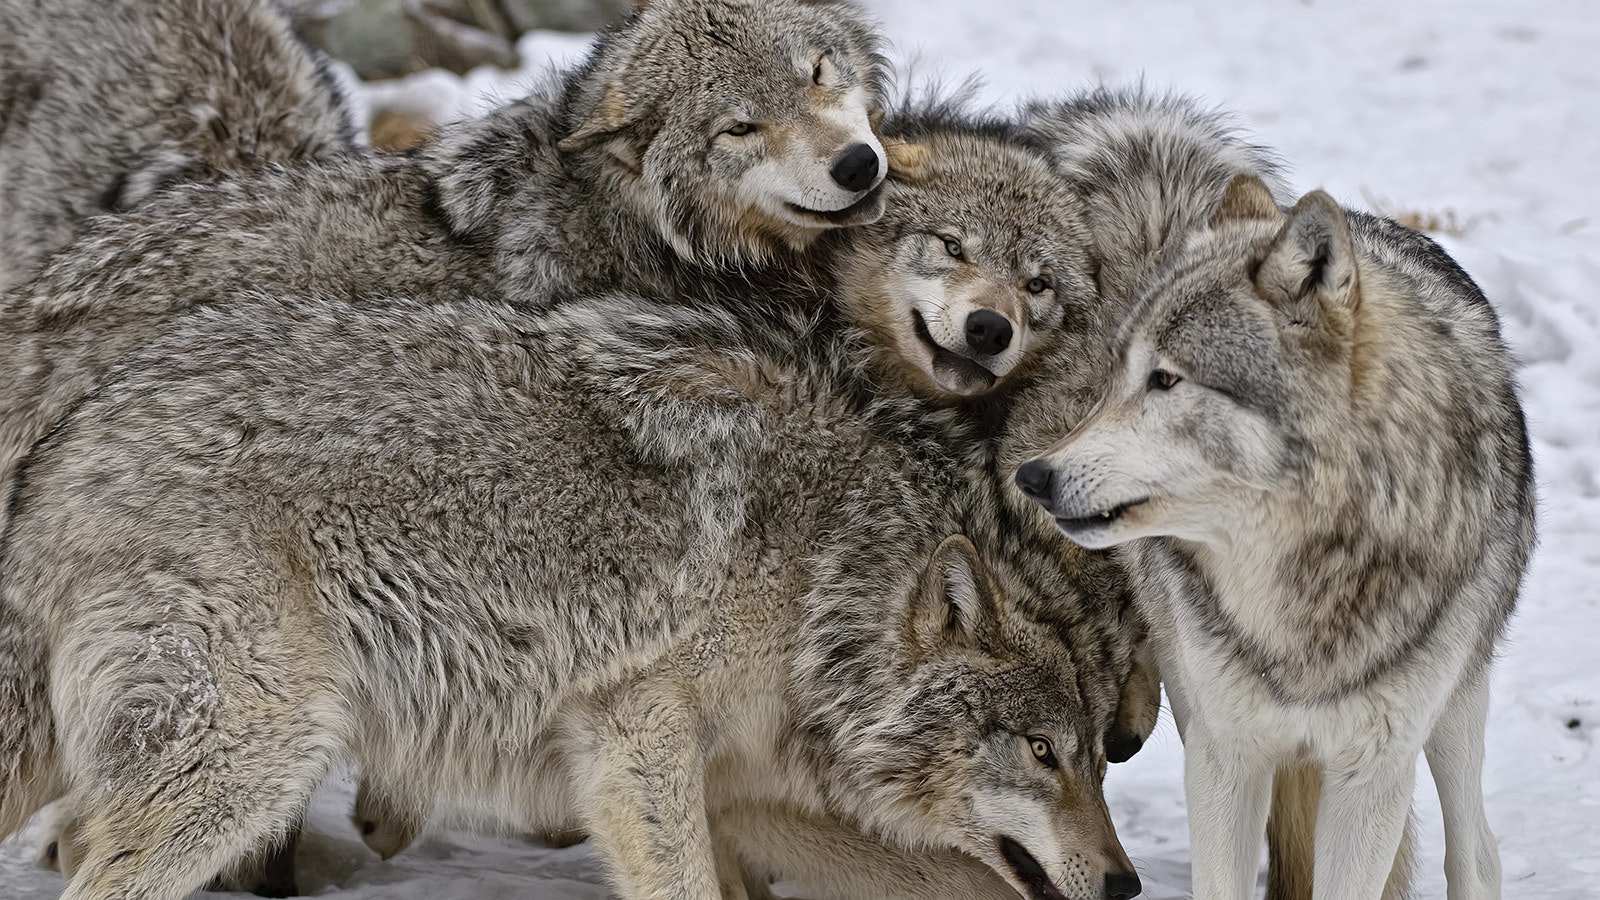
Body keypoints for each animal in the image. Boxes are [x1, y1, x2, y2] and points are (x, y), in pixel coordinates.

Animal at [0, 281, 1144, 900]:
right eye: (1040, 752)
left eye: (1093, 759)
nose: (1127, 882)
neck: (821, 576)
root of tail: (64, 448)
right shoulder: (636, 736)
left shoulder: (742, 792)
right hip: (251, 765)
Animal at [1014, 174, 1536, 899]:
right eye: (1117, 378)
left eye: (1166, 378)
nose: (1032, 476)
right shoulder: (1224, 758)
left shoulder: (1372, 772)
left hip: (1457, 706)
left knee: (1476, 853)